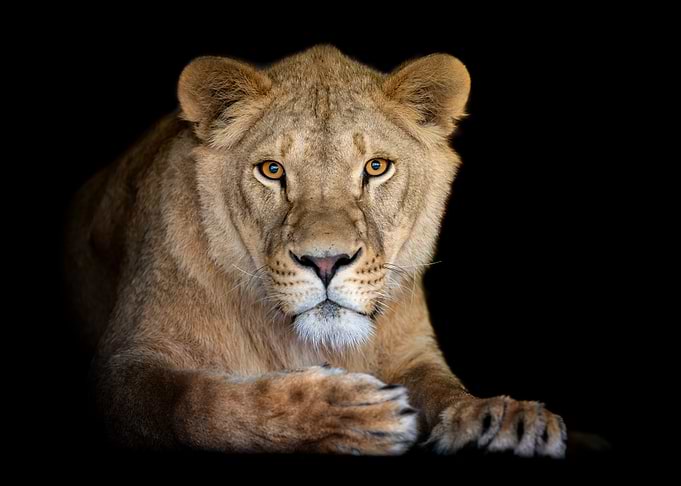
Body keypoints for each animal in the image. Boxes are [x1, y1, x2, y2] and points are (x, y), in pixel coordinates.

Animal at [65, 45, 566, 457]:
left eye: (376, 167)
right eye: (272, 170)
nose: (326, 262)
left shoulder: (411, 354)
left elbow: (445, 389)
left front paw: (502, 419)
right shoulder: (125, 367)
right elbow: (199, 403)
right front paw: (349, 414)